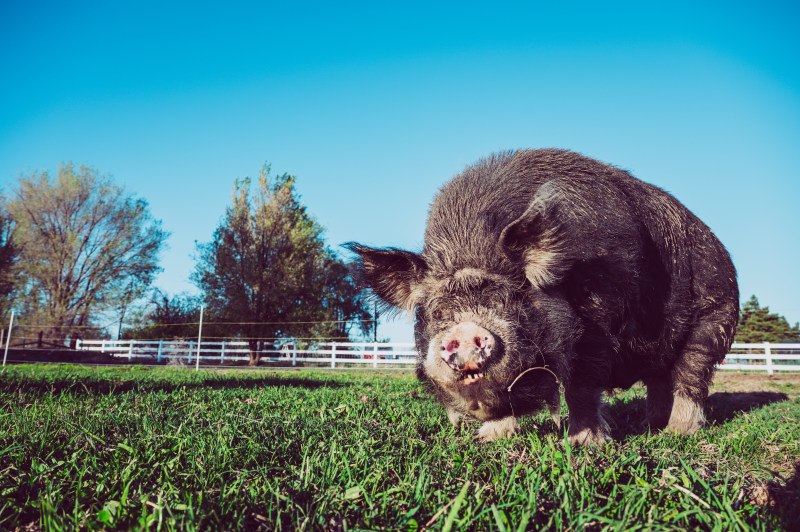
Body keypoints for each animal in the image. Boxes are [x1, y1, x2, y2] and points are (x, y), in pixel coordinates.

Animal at [346, 150, 740, 444]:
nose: (465, 332)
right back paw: (651, 428)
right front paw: (489, 440)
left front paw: (584, 444)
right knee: (661, 380)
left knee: (690, 377)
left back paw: (678, 433)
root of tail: (723, 253)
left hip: (713, 319)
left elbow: (582, 387)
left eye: (509, 298)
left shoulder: (599, 325)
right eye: (438, 312)